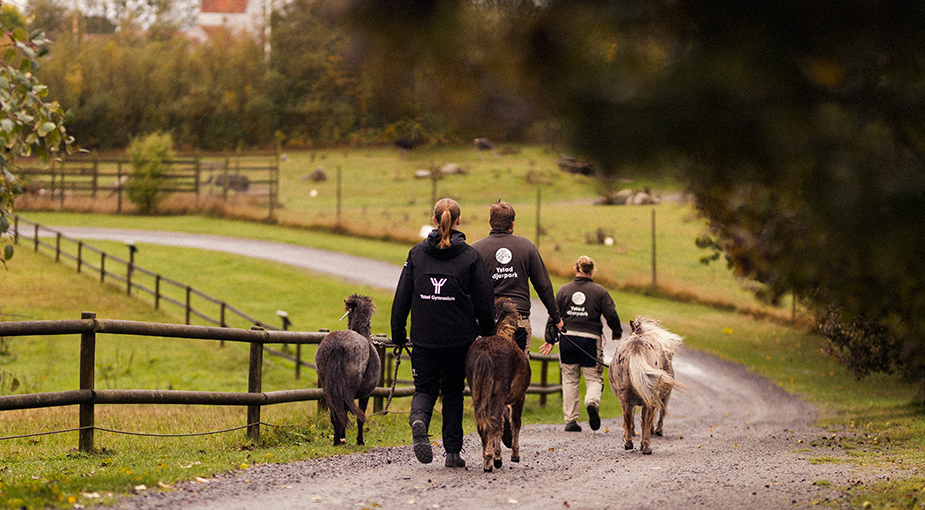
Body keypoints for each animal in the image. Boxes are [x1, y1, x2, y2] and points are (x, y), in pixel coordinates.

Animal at [314, 294, 378, 446]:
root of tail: (338, 344)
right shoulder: (365, 395)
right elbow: (360, 417)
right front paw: (360, 440)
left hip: (327, 389)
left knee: (336, 412)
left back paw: (337, 440)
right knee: (344, 411)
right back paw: (342, 439)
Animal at [466, 296, 532, 472]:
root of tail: (485, 351)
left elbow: (501, 427)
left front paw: (498, 456)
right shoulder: (519, 398)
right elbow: (514, 423)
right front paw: (513, 455)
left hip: (478, 393)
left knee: (482, 422)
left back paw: (486, 456)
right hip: (498, 394)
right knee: (493, 421)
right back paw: (489, 462)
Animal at [608, 314, 684, 454]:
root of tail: (636, 346)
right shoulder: (663, 397)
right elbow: (658, 415)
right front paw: (657, 431)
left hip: (626, 397)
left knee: (627, 416)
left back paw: (630, 444)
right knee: (647, 417)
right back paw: (645, 446)